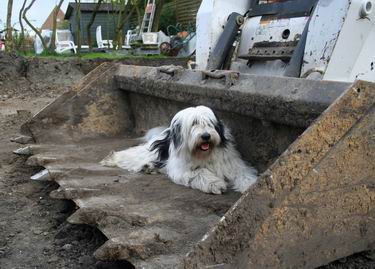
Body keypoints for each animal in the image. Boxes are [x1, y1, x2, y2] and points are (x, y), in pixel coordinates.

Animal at [100, 105, 258, 194]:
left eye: (209, 123)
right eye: (194, 123)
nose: (206, 136)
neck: (204, 154)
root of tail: (167, 131)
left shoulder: (231, 164)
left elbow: (243, 173)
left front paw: (251, 186)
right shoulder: (181, 169)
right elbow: (199, 172)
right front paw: (215, 184)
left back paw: (149, 167)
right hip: (151, 151)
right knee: (134, 155)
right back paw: (111, 159)